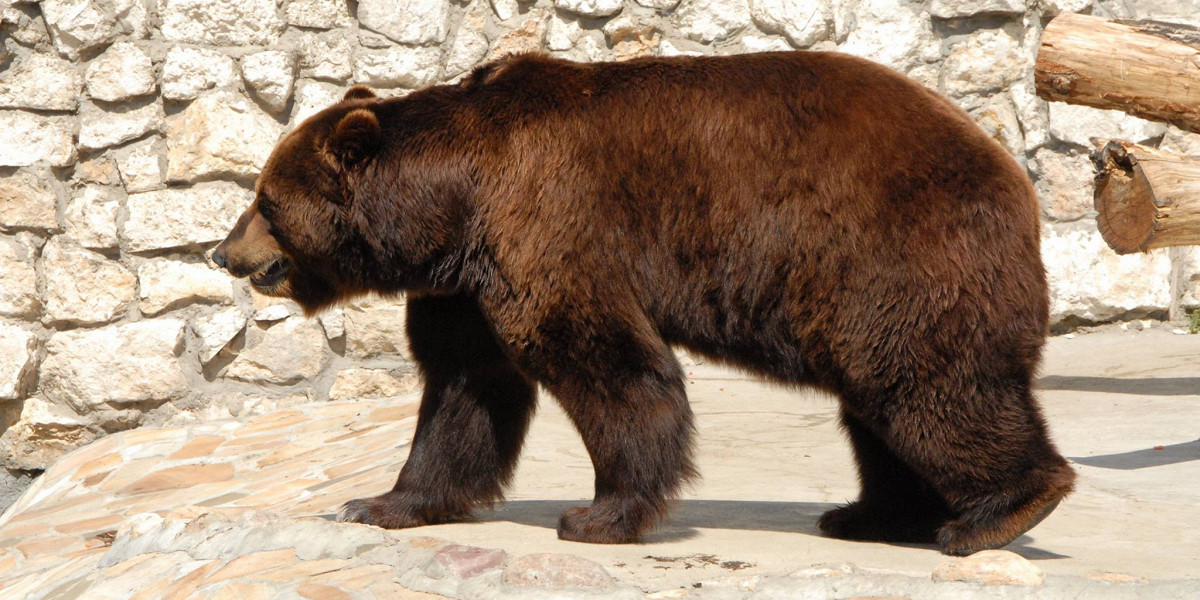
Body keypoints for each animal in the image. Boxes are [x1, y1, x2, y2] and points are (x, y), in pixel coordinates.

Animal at [213, 49, 1080, 554]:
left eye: (264, 200)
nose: (224, 252)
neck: (452, 208)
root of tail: (1014, 174)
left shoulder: (550, 223)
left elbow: (612, 368)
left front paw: (599, 516)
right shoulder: (464, 286)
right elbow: (466, 390)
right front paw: (383, 502)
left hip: (894, 257)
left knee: (930, 388)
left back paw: (994, 513)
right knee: (880, 407)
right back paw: (870, 515)